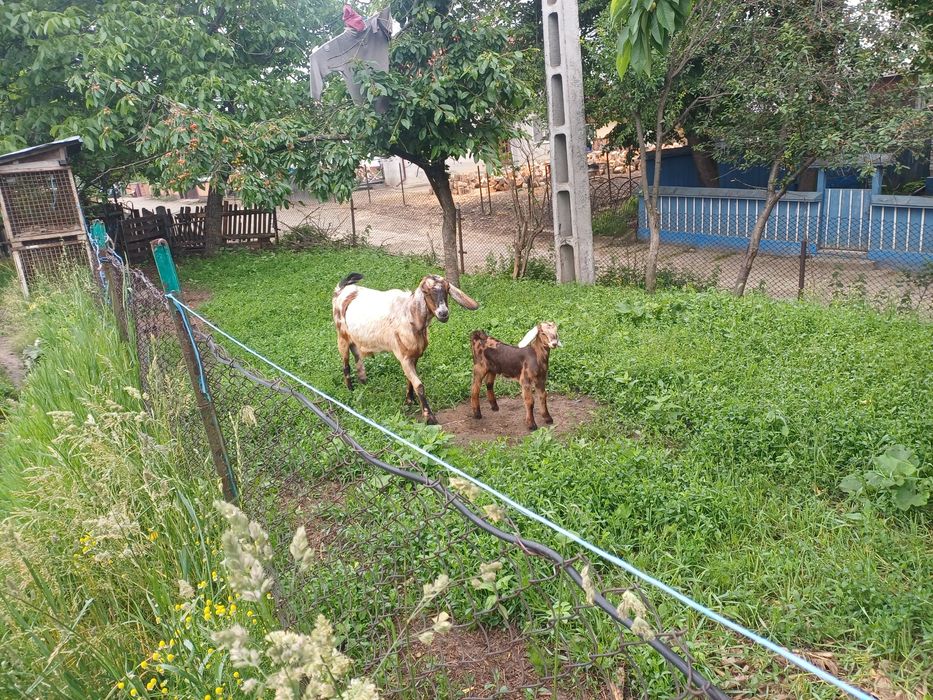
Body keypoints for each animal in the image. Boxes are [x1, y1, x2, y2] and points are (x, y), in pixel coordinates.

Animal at [332, 272, 479, 424]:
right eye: (426, 292)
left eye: (447, 289)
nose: (443, 313)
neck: (409, 314)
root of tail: (341, 290)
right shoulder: (403, 356)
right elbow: (419, 385)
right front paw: (429, 417)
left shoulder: (414, 355)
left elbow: (410, 380)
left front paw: (410, 400)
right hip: (341, 336)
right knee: (346, 365)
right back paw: (351, 391)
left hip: (355, 340)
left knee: (358, 358)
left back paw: (363, 383)